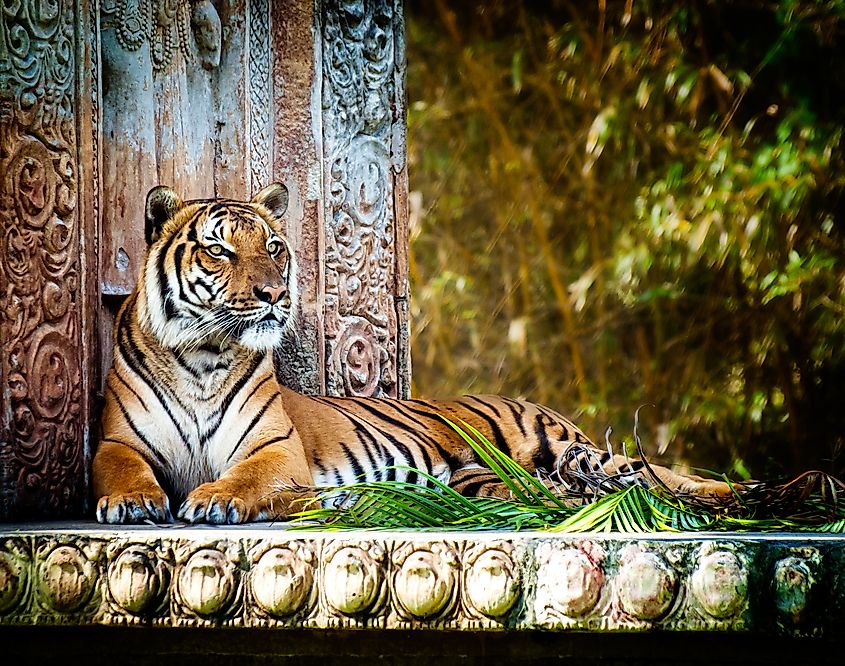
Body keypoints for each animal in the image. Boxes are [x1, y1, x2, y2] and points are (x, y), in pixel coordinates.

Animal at [92, 184, 733, 524]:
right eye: (219, 250)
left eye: (273, 247)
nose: (275, 293)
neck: (203, 356)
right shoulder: (117, 441)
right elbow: (122, 469)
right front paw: (131, 502)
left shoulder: (276, 452)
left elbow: (247, 477)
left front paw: (214, 499)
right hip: (494, 477)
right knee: (569, 490)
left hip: (556, 444)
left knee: (647, 472)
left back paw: (733, 493)